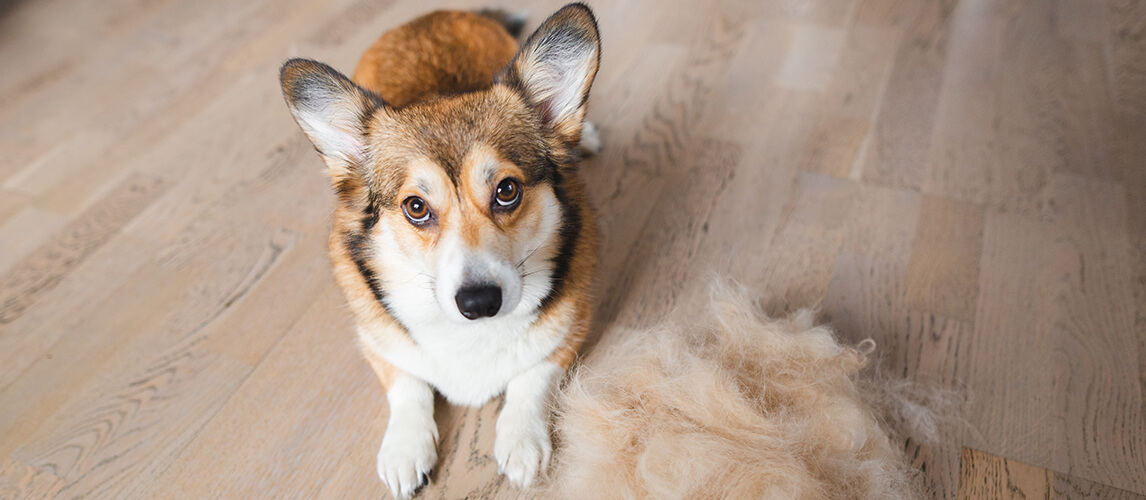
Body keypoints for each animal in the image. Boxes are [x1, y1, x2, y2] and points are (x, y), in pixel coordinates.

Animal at [278, 4, 600, 499]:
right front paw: (404, 449)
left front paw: (522, 440)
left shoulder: (573, 327)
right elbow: (407, 384)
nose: (479, 302)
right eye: (415, 207)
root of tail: (435, 14)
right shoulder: (376, 339)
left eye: (507, 191)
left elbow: (533, 376)